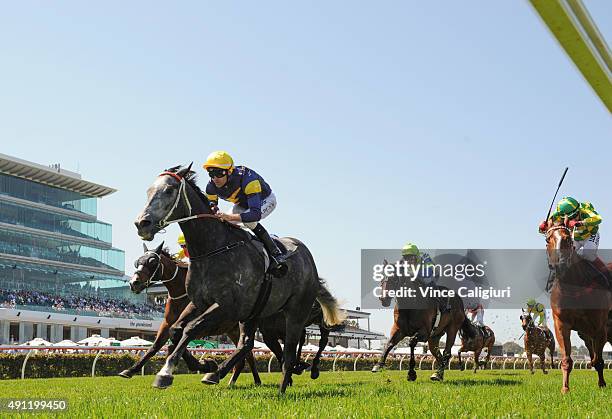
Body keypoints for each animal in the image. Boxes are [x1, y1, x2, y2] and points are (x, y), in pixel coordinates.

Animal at [119, 243, 260, 388]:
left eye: (152, 262)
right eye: (137, 262)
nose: (134, 283)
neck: (180, 292)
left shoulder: (204, 324)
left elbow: (178, 342)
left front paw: (207, 364)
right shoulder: (167, 323)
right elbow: (156, 346)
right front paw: (130, 370)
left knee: (248, 351)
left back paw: (254, 380)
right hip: (232, 330)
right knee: (247, 355)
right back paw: (236, 381)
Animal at [134, 165, 344, 394]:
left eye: (169, 190)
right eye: (148, 191)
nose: (142, 223)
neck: (212, 249)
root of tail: (307, 256)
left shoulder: (226, 306)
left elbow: (191, 328)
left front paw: (166, 372)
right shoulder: (199, 303)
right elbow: (176, 330)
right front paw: (206, 365)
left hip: (296, 313)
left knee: (292, 350)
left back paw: (286, 385)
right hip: (255, 314)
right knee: (248, 344)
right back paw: (218, 374)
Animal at [544, 221, 612, 396]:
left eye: (567, 239)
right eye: (548, 240)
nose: (558, 265)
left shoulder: (600, 328)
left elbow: (599, 360)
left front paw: (602, 384)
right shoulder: (562, 324)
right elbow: (567, 359)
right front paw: (565, 388)